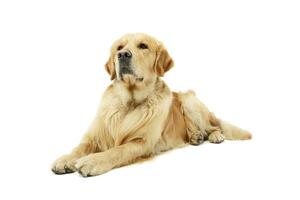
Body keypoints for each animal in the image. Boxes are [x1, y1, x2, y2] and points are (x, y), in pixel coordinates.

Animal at [51, 32, 251, 177]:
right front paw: (65, 159)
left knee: (214, 126)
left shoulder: (142, 142)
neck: (129, 104)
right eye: (119, 47)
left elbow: (117, 150)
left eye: (143, 46)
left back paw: (215, 136)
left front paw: (92, 161)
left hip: (190, 101)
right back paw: (196, 137)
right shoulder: (93, 137)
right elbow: (80, 147)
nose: (122, 55)